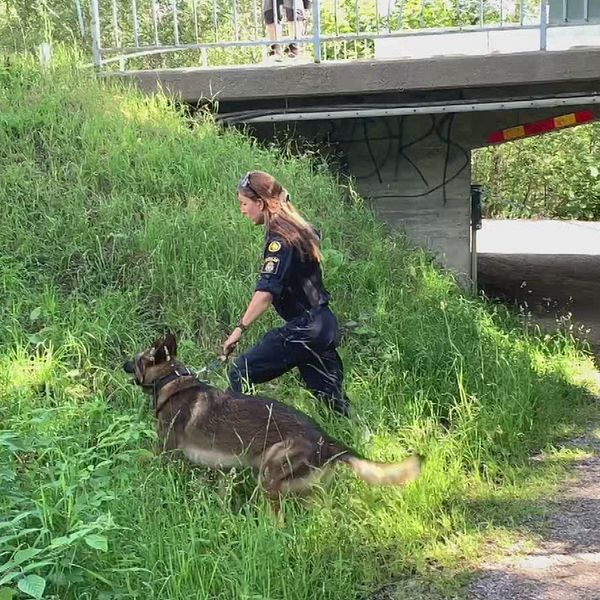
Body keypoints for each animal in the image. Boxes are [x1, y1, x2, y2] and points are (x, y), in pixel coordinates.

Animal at [122, 332, 422, 506]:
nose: (122, 364)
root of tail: (327, 441)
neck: (171, 380)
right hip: (306, 490)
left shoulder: (164, 451)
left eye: (137, 359)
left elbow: (140, 457)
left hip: (269, 475)